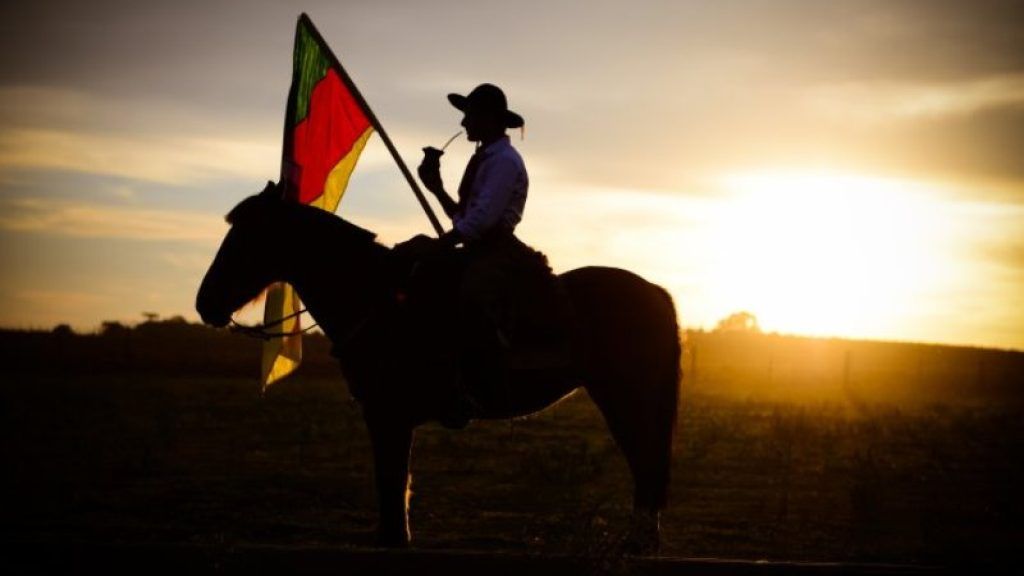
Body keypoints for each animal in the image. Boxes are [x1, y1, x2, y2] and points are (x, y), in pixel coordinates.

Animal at [195, 184, 684, 553]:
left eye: (245, 237)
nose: (205, 303)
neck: (378, 299)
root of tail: (656, 292)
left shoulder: (387, 414)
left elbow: (393, 485)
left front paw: (394, 540)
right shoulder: (388, 415)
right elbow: (395, 484)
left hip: (624, 399)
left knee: (646, 462)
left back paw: (638, 543)